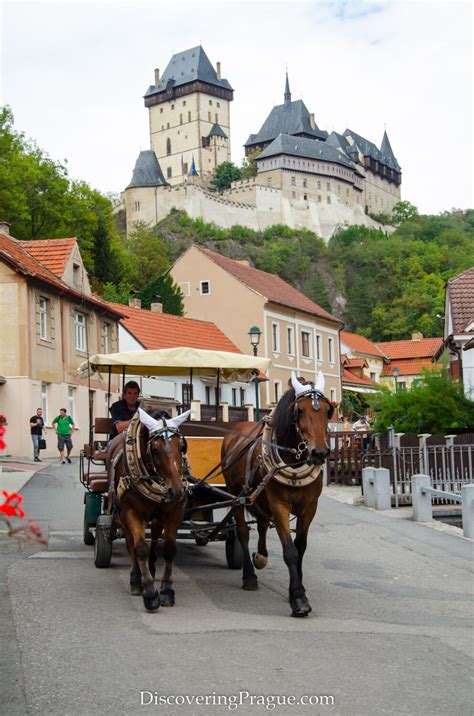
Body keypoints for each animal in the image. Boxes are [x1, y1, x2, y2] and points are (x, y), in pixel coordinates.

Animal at [106, 408, 190, 608]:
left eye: (182, 447)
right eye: (155, 449)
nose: (176, 490)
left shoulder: (174, 511)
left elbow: (169, 549)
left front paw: (166, 590)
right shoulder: (131, 511)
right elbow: (140, 548)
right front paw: (150, 592)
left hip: (157, 515)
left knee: (155, 534)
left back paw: (151, 567)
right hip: (122, 514)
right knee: (131, 543)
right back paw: (137, 579)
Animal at [222, 374, 334, 616]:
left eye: (326, 410)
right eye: (299, 411)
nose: (319, 453)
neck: (294, 462)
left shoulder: (309, 507)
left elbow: (301, 547)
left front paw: (299, 589)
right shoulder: (280, 505)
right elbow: (290, 551)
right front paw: (298, 599)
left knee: (262, 523)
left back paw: (261, 556)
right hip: (237, 496)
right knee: (243, 533)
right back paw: (249, 576)